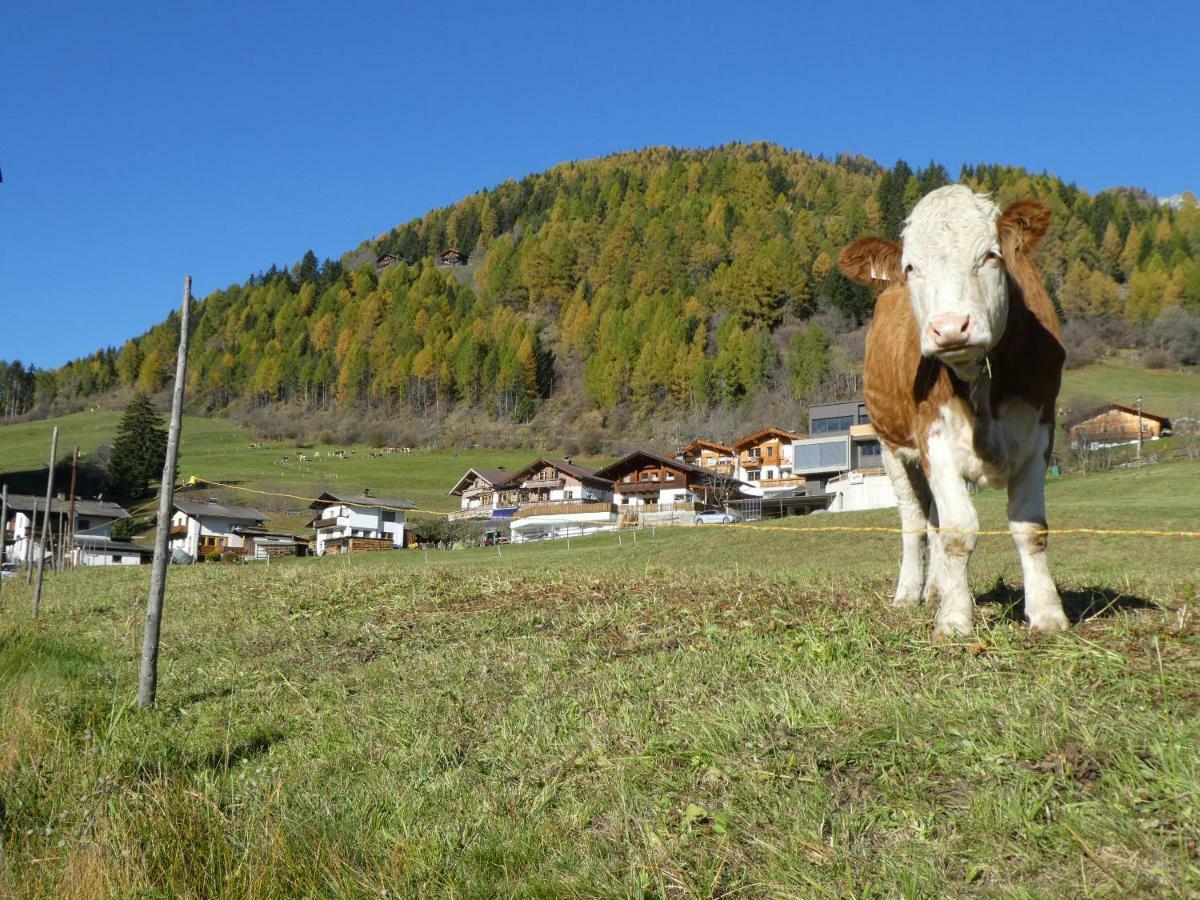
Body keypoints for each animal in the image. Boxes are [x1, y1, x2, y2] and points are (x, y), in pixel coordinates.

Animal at [840, 183, 1065, 638]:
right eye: (911, 268)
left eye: (991, 255)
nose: (948, 328)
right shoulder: (934, 440)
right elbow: (958, 529)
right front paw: (956, 619)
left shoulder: (1040, 431)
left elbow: (1030, 527)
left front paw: (1047, 612)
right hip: (891, 448)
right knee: (914, 523)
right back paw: (910, 594)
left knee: (932, 520)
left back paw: (934, 590)